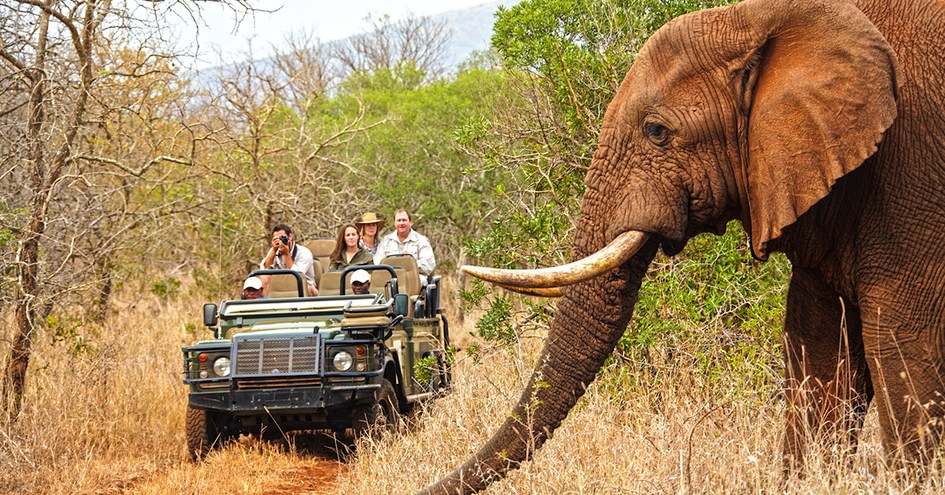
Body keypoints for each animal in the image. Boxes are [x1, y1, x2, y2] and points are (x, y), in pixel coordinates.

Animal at [424, 0, 944, 494]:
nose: (423, 485)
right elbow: (821, 356)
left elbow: (903, 348)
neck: (766, 18)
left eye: (656, 131)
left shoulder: (911, 174)